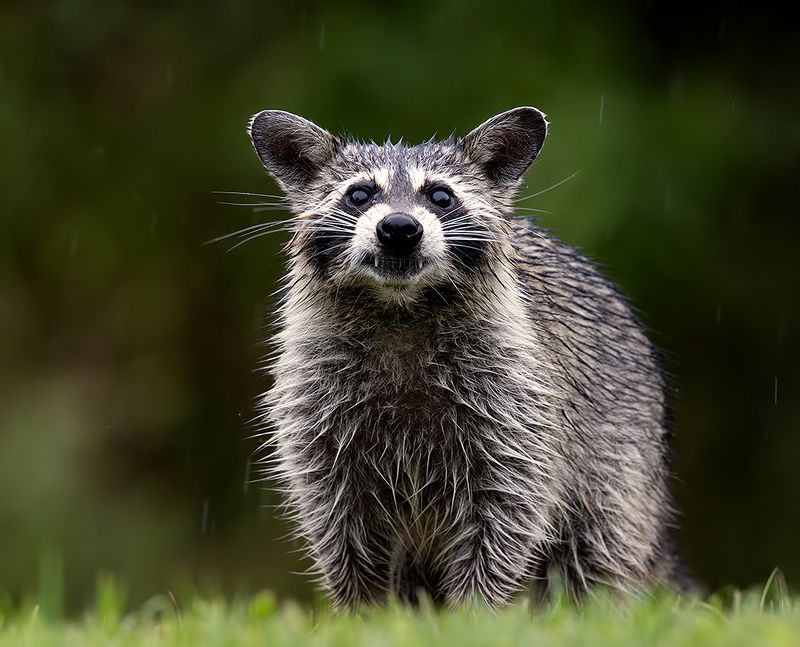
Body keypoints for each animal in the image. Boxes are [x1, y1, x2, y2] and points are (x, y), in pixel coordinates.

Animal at [247, 107, 685, 609]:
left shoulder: (519, 403)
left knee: (596, 548)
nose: (399, 228)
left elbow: (507, 511)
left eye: (440, 195)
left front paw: (476, 609)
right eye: (359, 194)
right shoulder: (317, 410)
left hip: (620, 453)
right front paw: (365, 610)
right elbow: (339, 521)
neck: (400, 308)